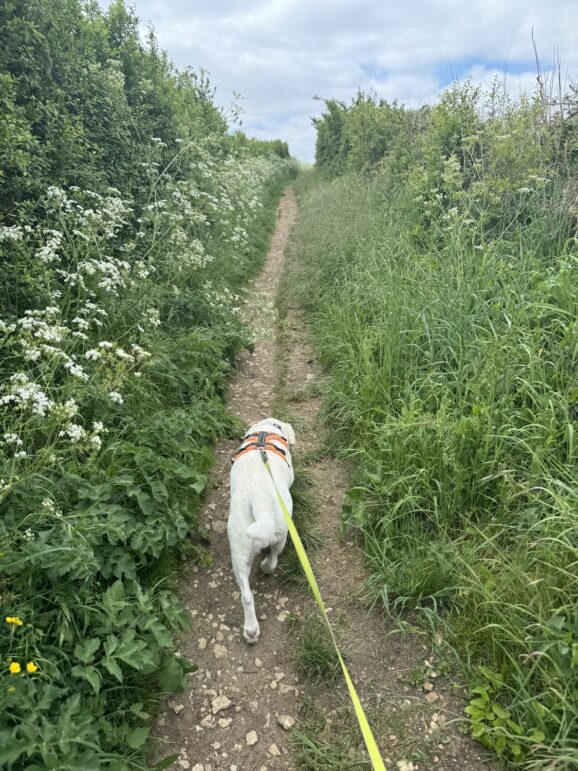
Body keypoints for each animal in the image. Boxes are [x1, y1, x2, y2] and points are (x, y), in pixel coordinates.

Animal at [228, 417, 296, 643]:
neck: (265, 432)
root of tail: (259, 498)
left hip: (241, 548)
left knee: (247, 595)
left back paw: (250, 629)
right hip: (280, 533)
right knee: (272, 560)